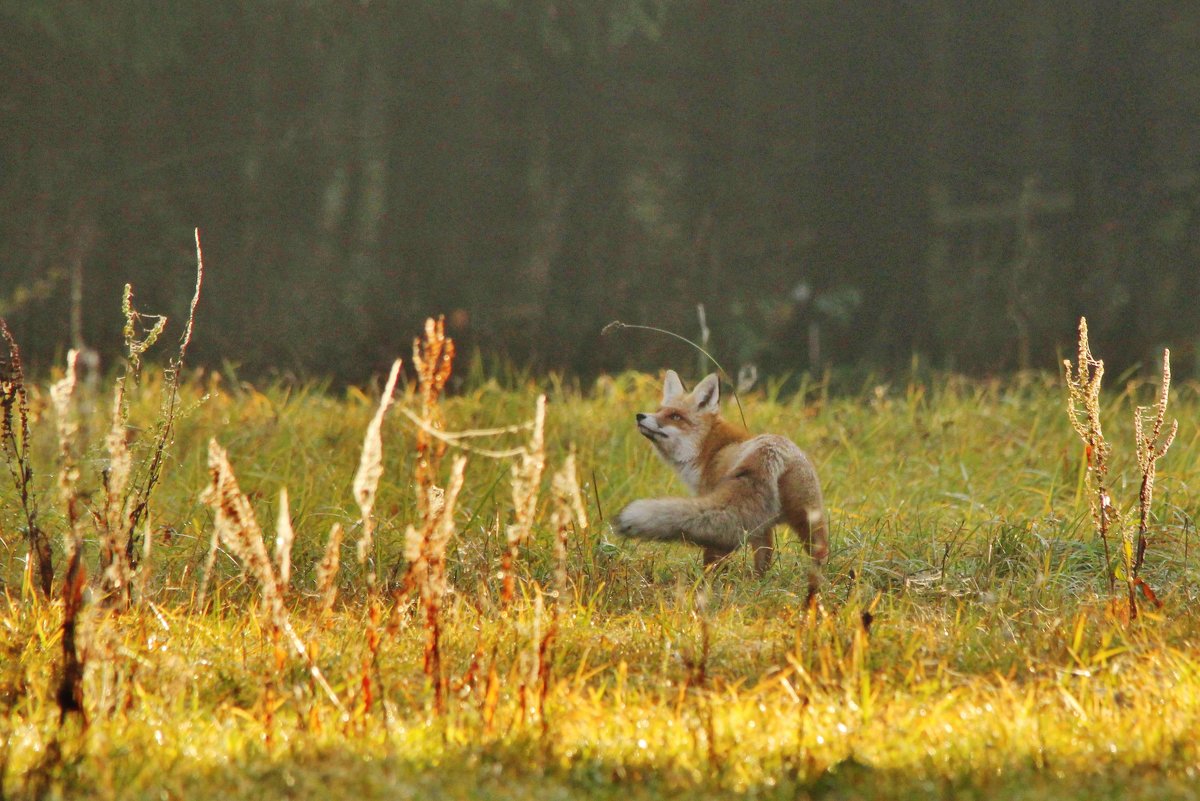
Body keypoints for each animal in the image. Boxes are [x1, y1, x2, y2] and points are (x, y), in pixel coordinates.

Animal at [614, 369, 830, 575]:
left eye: (675, 416)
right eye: (659, 411)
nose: (640, 416)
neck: (708, 448)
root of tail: (774, 452)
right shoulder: (764, 527)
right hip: (803, 522)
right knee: (811, 555)